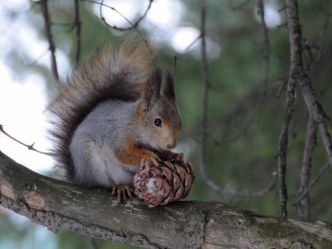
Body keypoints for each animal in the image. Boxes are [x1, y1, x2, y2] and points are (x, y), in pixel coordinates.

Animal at [48, 38, 182, 198]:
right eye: (157, 122)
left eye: (180, 122)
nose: (172, 144)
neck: (132, 122)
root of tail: (78, 178)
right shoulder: (117, 136)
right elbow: (123, 153)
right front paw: (148, 155)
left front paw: (174, 155)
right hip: (90, 160)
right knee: (102, 184)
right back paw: (120, 187)